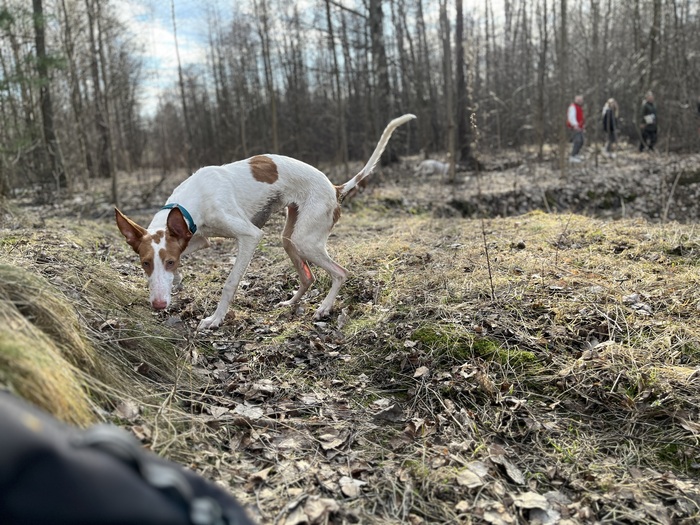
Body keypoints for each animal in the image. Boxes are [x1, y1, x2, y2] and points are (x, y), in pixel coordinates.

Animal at [116, 114, 415, 329]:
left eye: (168, 261)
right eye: (145, 263)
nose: (158, 305)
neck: (193, 200)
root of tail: (335, 187)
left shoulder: (249, 236)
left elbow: (230, 283)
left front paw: (215, 319)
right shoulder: (199, 238)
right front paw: (177, 280)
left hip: (305, 241)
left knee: (340, 273)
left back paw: (324, 308)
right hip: (290, 238)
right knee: (308, 277)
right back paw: (291, 303)